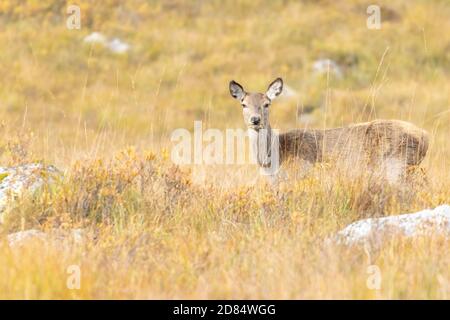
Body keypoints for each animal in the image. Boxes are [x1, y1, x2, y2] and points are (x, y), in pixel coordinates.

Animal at [229, 77, 428, 182]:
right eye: (243, 104)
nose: (255, 120)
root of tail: (425, 136)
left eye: (267, 103)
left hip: (397, 165)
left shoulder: (301, 171)